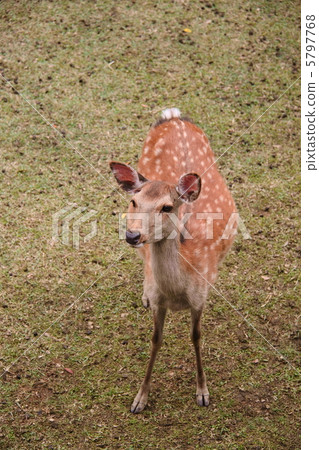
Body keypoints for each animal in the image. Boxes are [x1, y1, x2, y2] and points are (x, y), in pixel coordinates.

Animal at [110, 108, 238, 412]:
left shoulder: (199, 297)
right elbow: (156, 339)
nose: (133, 234)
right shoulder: (160, 302)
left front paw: (202, 392)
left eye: (167, 207)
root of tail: (174, 116)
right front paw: (140, 399)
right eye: (134, 202)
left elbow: (196, 336)